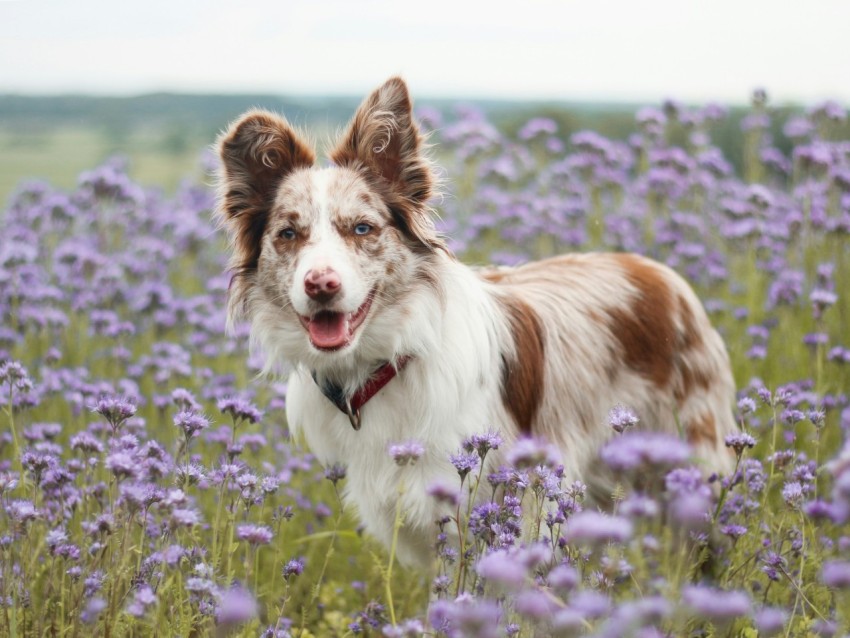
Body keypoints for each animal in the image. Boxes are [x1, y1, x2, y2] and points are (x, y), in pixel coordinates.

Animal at [214, 77, 736, 568]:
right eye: (288, 234)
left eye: (362, 228)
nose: (320, 284)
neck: (387, 362)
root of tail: (654, 269)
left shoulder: (511, 505)